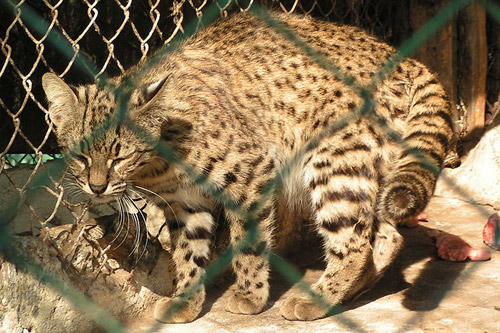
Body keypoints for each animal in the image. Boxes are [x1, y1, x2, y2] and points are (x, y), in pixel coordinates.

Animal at [43, 10, 456, 322]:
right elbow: (187, 252)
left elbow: (248, 243)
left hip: (336, 162)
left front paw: (250, 297)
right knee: (386, 235)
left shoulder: (251, 175)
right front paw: (186, 301)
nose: (96, 187)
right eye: (80, 156)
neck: (159, 161)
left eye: (120, 156)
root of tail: (399, 55)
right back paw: (352, 292)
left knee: (354, 243)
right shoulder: (185, 203)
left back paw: (318, 299)